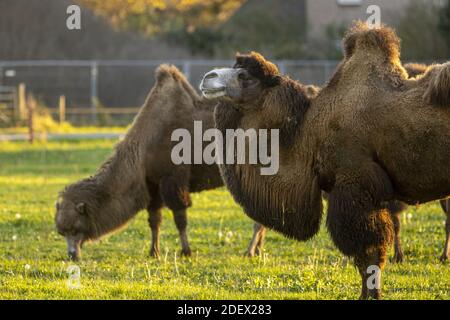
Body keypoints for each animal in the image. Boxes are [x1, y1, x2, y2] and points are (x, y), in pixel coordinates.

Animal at [201, 23, 450, 298]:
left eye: (245, 76)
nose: (207, 77)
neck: (309, 132)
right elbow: (366, 257)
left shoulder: (357, 185)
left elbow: (369, 253)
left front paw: (370, 295)